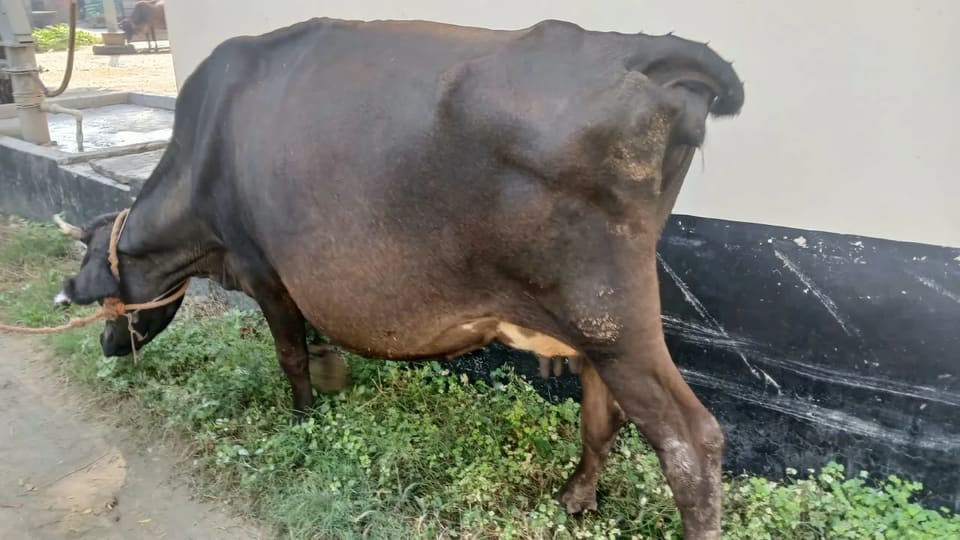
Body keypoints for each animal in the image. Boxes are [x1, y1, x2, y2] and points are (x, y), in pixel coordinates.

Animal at [52, 17, 743, 539]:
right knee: (603, 414)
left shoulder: (263, 269)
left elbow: (290, 355)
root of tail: (636, 50)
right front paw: (330, 380)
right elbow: (315, 346)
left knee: (691, 441)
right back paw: (575, 495)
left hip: (608, 318)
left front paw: (304, 419)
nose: (107, 346)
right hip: (601, 323)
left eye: (104, 299)